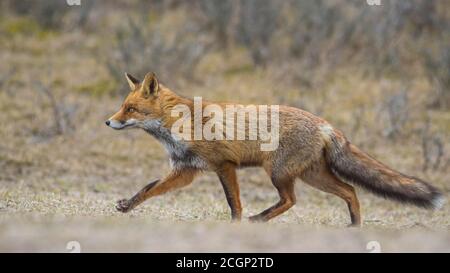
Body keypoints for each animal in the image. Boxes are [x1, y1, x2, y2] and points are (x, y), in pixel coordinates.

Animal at [104, 70, 442, 225]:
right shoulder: (186, 170)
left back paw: (260, 218)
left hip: (278, 173)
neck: (181, 123)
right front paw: (127, 206)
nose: (108, 122)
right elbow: (148, 189)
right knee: (350, 191)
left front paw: (236, 224)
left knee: (291, 200)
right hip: (311, 175)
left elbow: (234, 203)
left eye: (129, 109)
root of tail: (325, 123)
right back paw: (355, 226)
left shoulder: (224, 165)